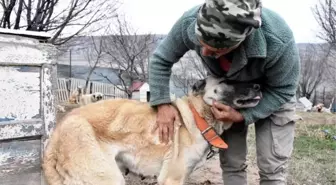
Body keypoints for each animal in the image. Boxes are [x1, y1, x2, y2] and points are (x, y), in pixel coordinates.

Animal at [42, 76, 262, 184]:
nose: (259, 86)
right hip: (107, 179)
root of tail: (56, 135)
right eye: (227, 81)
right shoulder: (171, 179)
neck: (197, 115)